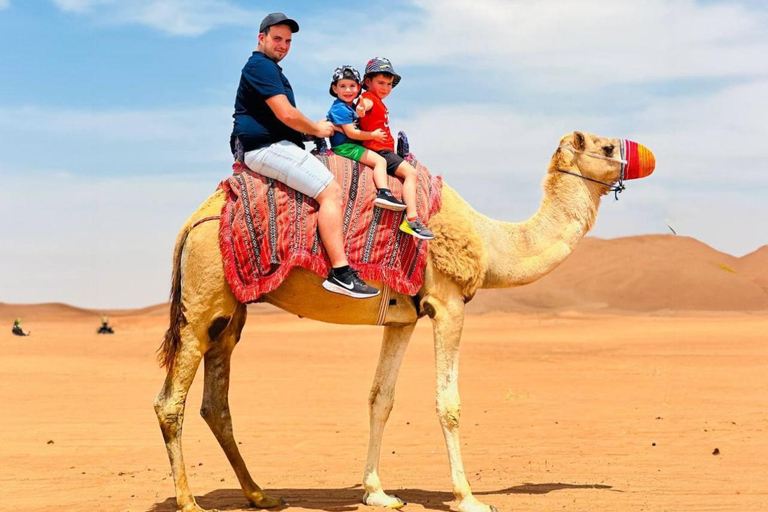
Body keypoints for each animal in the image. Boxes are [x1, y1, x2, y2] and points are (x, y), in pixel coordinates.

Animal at [154, 131, 655, 512]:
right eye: (606, 147)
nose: (644, 155)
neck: (490, 242)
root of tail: (191, 222)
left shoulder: (402, 319)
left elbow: (381, 399)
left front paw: (378, 493)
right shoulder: (448, 304)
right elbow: (448, 403)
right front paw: (469, 498)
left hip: (230, 315)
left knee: (215, 403)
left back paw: (260, 495)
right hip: (202, 300)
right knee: (170, 402)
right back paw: (189, 502)